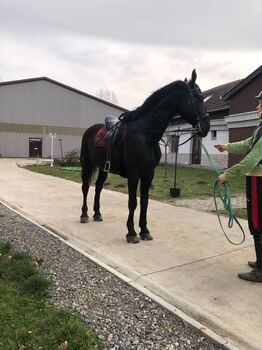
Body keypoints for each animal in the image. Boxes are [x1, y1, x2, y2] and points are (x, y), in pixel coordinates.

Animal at [80, 69, 209, 242]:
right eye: (199, 98)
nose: (206, 127)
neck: (145, 133)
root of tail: (89, 130)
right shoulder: (134, 174)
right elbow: (133, 202)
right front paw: (131, 233)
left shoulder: (149, 174)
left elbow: (145, 202)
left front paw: (145, 230)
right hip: (87, 164)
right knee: (86, 187)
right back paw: (84, 215)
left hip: (102, 168)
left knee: (99, 187)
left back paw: (97, 213)